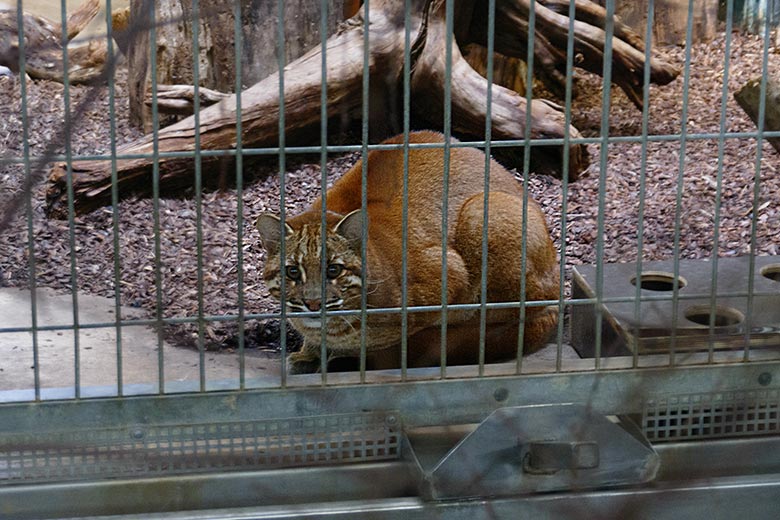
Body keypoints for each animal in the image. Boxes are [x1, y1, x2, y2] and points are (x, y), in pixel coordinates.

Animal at [258, 130, 560, 374]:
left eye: (334, 270)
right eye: (292, 272)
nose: (312, 303)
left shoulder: (449, 273)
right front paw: (309, 353)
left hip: (485, 212)